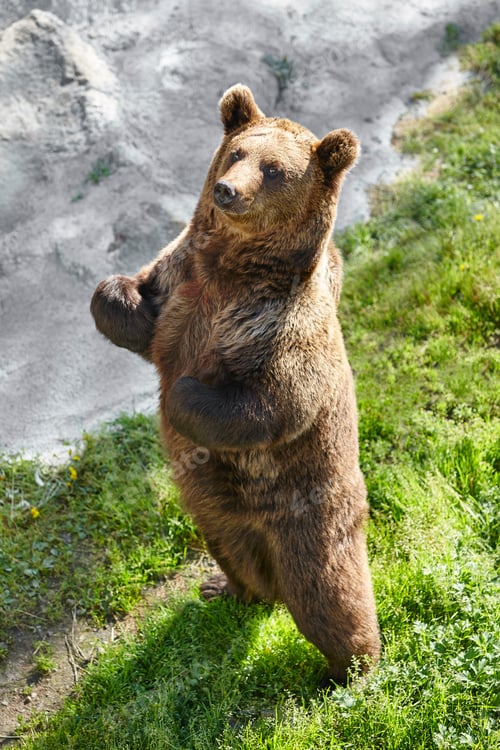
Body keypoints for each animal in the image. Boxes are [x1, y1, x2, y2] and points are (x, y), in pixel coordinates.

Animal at [91, 84, 381, 686]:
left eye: (274, 170)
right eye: (236, 152)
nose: (227, 190)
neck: (234, 270)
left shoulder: (280, 329)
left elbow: (271, 406)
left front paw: (178, 396)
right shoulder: (179, 275)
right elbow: (131, 301)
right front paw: (123, 305)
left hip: (309, 509)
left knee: (328, 594)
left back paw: (349, 671)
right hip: (216, 514)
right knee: (239, 558)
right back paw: (224, 588)